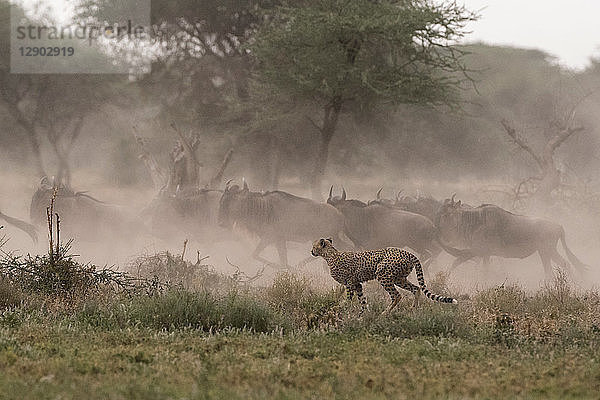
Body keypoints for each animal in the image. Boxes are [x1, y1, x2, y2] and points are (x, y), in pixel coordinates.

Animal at [312, 236, 458, 314]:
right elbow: (362, 300)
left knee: (397, 295)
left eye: (314, 246)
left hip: (383, 275)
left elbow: (349, 298)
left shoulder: (349, 283)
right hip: (399, 278)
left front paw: (344, 308)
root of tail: (409, 253)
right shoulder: (357, 284)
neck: (330, 254)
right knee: (416, 288)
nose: (311, 251)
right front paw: (362, 314)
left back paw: (385, 313)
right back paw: (413, 309)